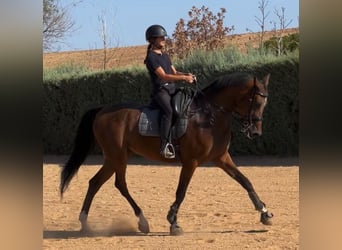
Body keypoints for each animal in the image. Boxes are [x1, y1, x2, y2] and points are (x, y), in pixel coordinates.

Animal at [58, 71, 272, 235]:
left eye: (264, 103)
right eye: (254, 101)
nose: (255, 132)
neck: (208, 115)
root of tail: (102, 111)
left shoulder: (221, 158)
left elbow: (245, 181)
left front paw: (264, 212)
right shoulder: (191, 161)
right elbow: (181, 191)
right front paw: (173, 222)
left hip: (113, 158)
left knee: (95, 182)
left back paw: (85, 223)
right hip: (118, 157)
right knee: (120, 184)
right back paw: (142, 221)